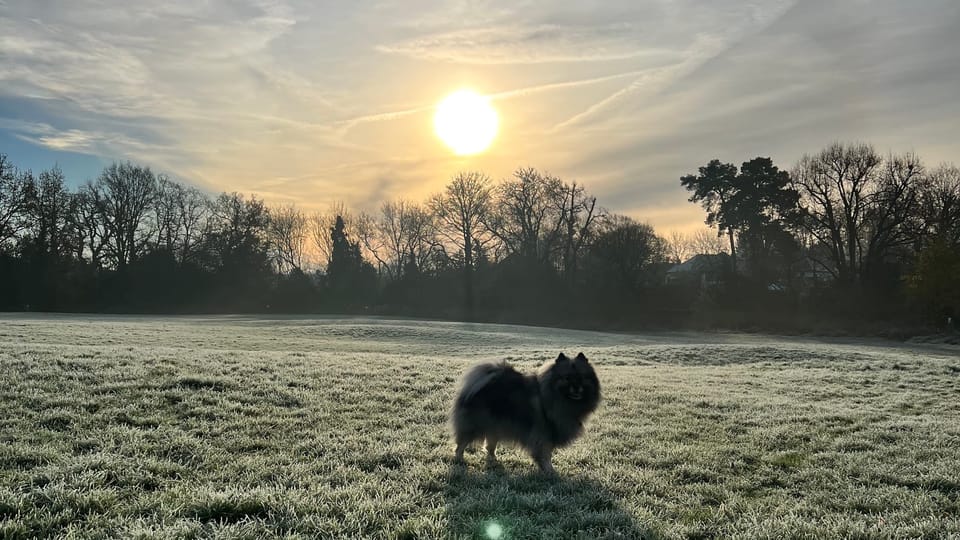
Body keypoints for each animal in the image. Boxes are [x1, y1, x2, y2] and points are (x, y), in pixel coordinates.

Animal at [452, 354, 600, 472]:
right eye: (567, 378)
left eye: (582, 377)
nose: (576, 387)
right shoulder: (543, 435)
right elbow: (545, 455)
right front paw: (549, 471)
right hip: (475, 426)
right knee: (461, 444)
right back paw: (459, 460)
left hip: (495, 425)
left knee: (490, 446)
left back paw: (494, 460)